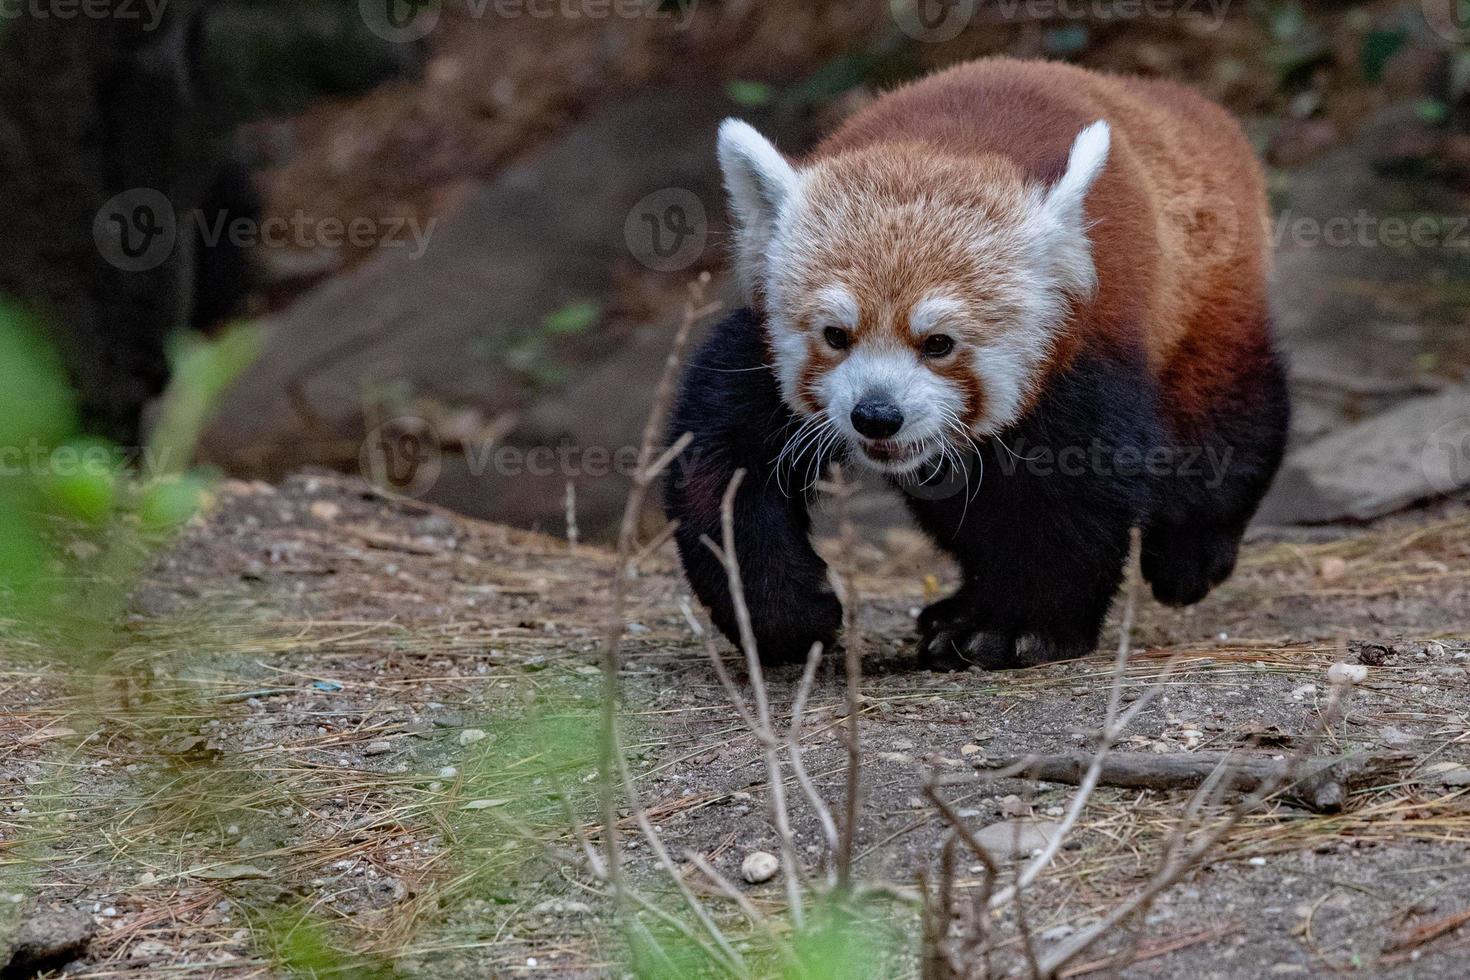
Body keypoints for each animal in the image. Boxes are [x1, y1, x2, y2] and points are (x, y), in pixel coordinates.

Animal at [667, 57, 1287, 669]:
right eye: (836, 335)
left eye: (939, 343)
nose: (877, 415)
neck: (945, 145)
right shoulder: (755, 354)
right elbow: (720, 467)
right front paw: (788, 615)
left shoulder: (1088, 344)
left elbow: (1074, 491)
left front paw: (1016, 628)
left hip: (1208, 296)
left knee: (1227, 415)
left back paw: (1190, 557)